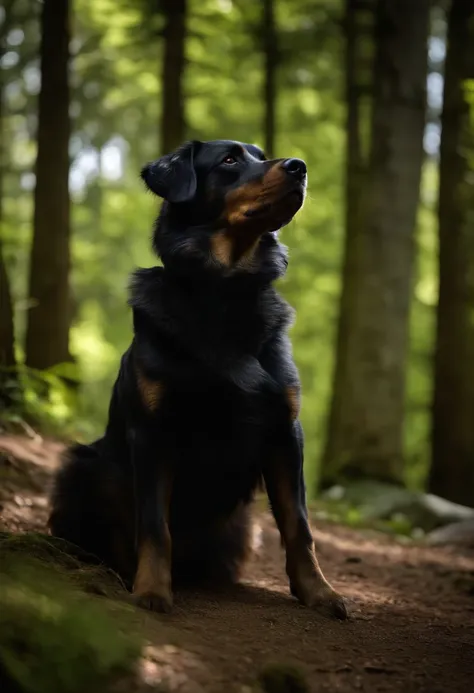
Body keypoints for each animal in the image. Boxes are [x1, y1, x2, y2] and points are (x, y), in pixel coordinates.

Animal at [48, 139, 346, 616]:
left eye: (260, 153)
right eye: (229, 159)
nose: (299, 167)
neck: (224, 291)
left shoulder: (285, 432)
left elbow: (299, 525)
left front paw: (319, 592)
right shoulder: (153, 432)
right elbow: (155, 525)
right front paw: (152, 590)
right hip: (81, 464)